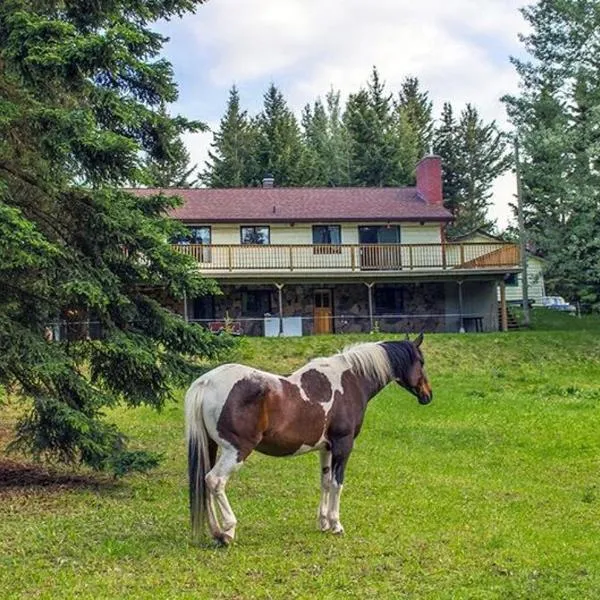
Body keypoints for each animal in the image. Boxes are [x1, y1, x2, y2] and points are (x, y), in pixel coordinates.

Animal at [184, 332, 432, 544]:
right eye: (421, 362)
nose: (428, 395)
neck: (351, 380)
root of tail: (206, 382)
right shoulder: (343, 445)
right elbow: (337, 483)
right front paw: (336, 525)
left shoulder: (326, 448)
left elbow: (325, 482)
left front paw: (323, 523)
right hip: (236, 451)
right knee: (215, 481)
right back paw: (227, 531)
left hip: (212, 446)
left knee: (204, 482)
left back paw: (215, 532)